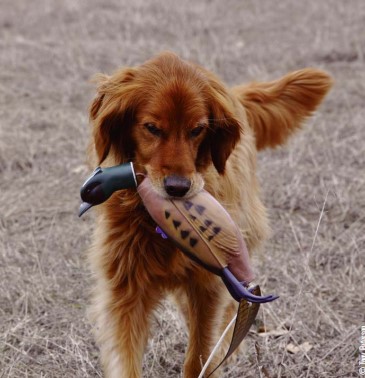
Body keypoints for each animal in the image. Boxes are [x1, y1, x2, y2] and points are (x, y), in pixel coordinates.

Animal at [86, 51, 332, 376]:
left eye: (197, 129)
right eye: (151, 128)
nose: (177, 188)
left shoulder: (208, 287)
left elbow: (200, 353)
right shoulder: (125, 291)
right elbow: (125, 359)